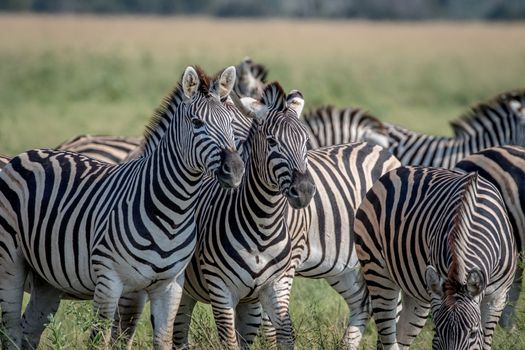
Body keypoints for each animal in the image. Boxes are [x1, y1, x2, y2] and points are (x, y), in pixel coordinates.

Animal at [0, 65, 246, 350]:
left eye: (230, 123)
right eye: (197, 123)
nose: (235, 170)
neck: (173, 211)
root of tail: (27, 153)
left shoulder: (170, 286)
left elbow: (161, 340)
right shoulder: (110, 282)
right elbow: (100, 340)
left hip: (47, 277)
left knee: (28, 330)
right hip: (10, 264)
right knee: (10, 331)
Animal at [354, 167, 512, 350]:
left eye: (473, 333)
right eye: (437, 331)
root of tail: (397, 170)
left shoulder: (497, 298)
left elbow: (485, 341)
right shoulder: (439, 289)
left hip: (415, 294)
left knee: (401, 333)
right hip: (377, 271)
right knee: (388, 335)